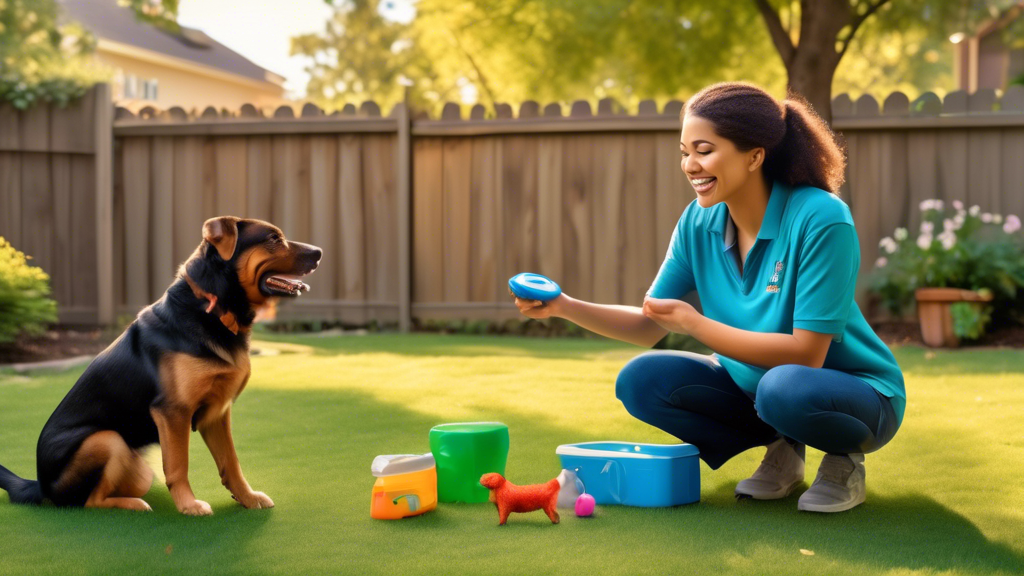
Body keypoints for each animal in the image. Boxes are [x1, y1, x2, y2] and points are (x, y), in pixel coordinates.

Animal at [0, 217, 319, 512]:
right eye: (273, 239)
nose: (319, 252)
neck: (214, 308)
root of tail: (40, 485)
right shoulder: (172, 411)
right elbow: (179, 465)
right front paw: (189, 506)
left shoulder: (217, 412)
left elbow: (231, 462)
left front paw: (247, 498)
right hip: (107, 440)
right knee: (89, 502)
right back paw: (133, 505)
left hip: (139, 470)